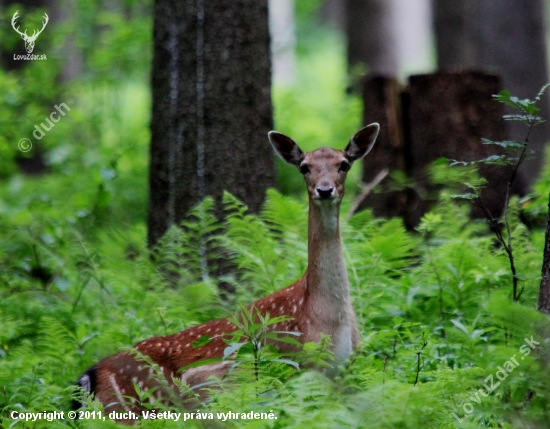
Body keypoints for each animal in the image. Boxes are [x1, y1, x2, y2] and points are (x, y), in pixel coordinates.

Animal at [75, 122, 382, 420]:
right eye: (304, 167)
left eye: (344, 164)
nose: (325, 190)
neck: (326, 316)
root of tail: (91, 375)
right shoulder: (302, 366)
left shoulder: (341, 372)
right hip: (131, 409)